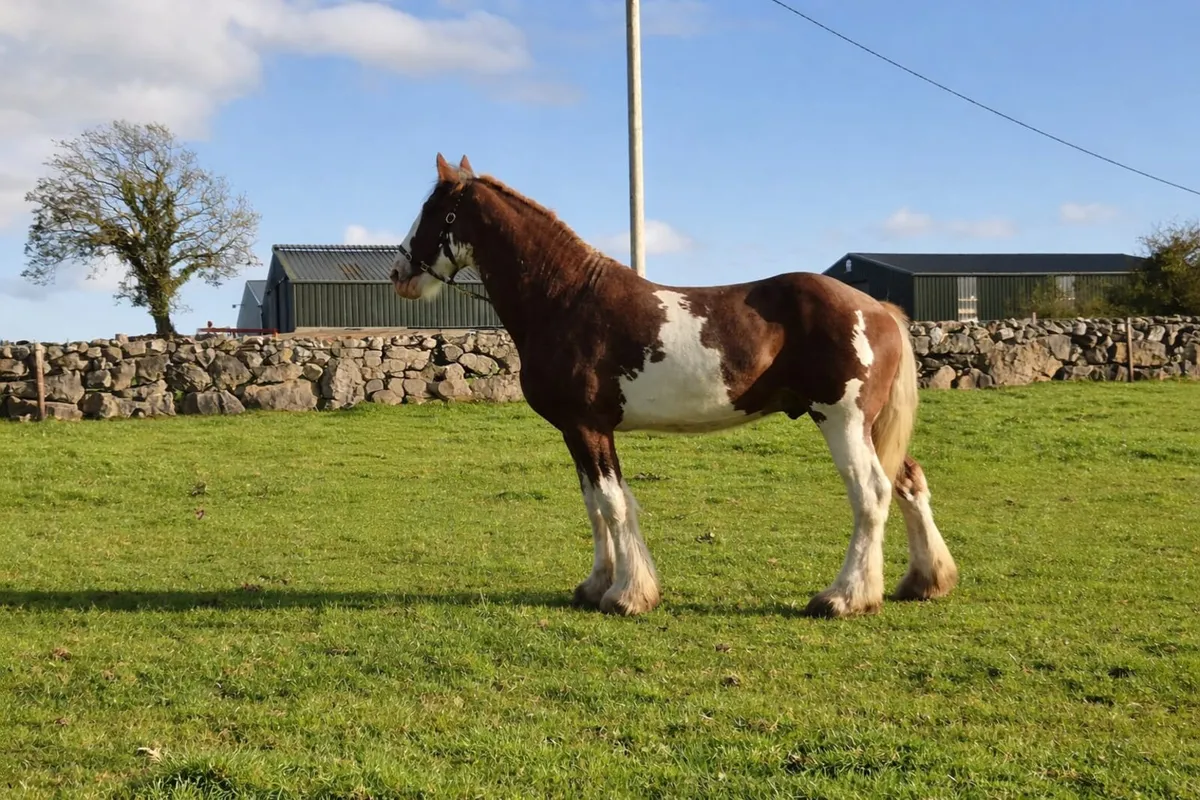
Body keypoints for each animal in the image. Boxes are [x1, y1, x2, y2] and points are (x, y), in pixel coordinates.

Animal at [389, 153, 958, 619]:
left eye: (433, 210)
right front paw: (596, 586)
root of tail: (876, 307)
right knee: (909, 481)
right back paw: (924, 581)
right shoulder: (577, 430)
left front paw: (628, 595)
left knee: (871, 494)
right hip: (870, 425)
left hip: (841, 420)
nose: (399, 273)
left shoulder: (589, 426)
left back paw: (844, 597)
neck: (566, 299)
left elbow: (613, 504)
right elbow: (594, 506)